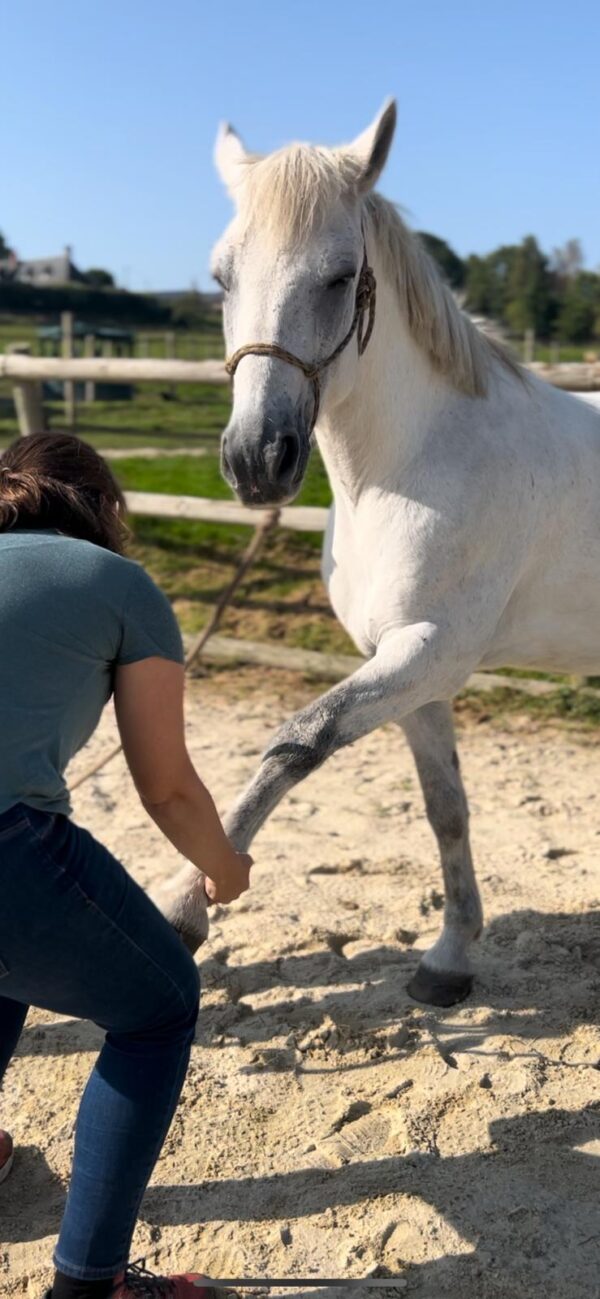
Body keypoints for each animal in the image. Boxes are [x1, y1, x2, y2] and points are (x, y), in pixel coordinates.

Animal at [158, 101, 600, 1008]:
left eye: (338, 277)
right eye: (221, 278)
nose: (257, 459)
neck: (417, 465)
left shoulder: (431, 650)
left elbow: (297, 740)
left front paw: (185, 905)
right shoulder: (409, 665)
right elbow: (446, 809)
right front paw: (449, 959)